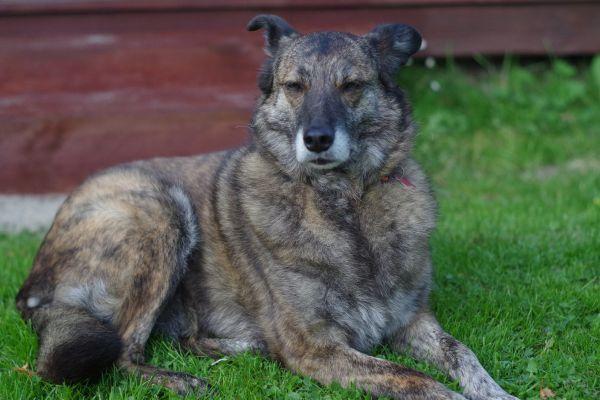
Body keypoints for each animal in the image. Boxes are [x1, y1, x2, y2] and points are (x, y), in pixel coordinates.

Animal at [16, 15, 518, 400]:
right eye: (294, 86)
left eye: (351, 86)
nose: (316, 139)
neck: (343, 203)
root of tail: (31, 286)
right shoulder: (316, 347)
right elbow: (418, 380)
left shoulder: (412, 321)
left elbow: (464, 354)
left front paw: (497, 392)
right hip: (160, 213)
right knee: (123, 352)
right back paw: (181, 379)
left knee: (185, 338)